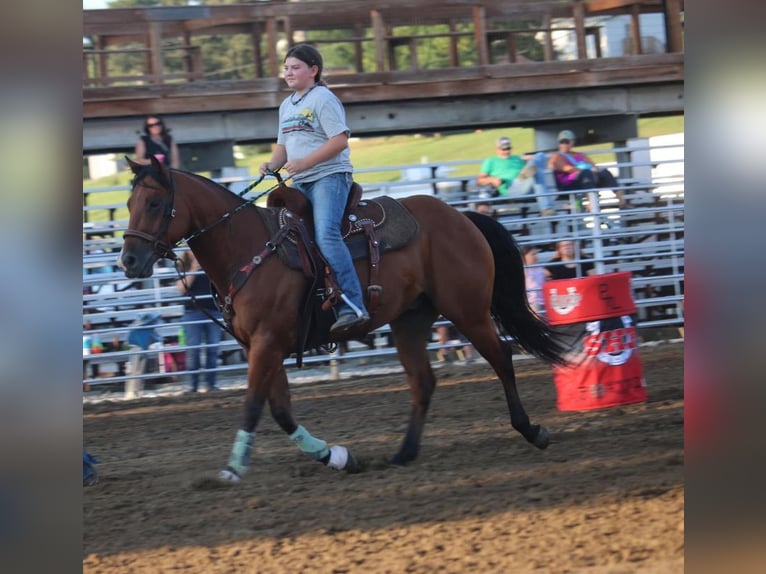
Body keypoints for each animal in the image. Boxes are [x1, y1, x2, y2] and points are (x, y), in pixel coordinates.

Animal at [121, 156, 568, 482]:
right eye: (129, 204)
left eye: (155, 204)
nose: (128, 261)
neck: (249, 248)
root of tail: (460, 217)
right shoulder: (260, 346)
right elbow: (280, 410)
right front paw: (336, 456)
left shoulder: (268, 342)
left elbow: (254, 406)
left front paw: (232, 469)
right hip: (410, 320)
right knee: (423, 382)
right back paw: (404, 453)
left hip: (468, 310)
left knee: (502, 358)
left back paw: (533, 431)